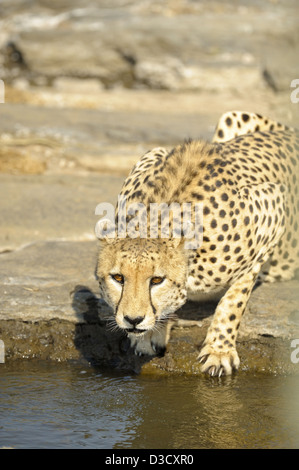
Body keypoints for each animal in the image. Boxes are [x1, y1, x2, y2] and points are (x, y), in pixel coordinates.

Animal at [96, 111, 299, 378]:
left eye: (157, 280)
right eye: (118, 278)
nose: (133, 319)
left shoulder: (273, 207)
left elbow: (234, 299)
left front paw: (219, 350)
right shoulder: (152, 155)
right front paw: (150, 334)